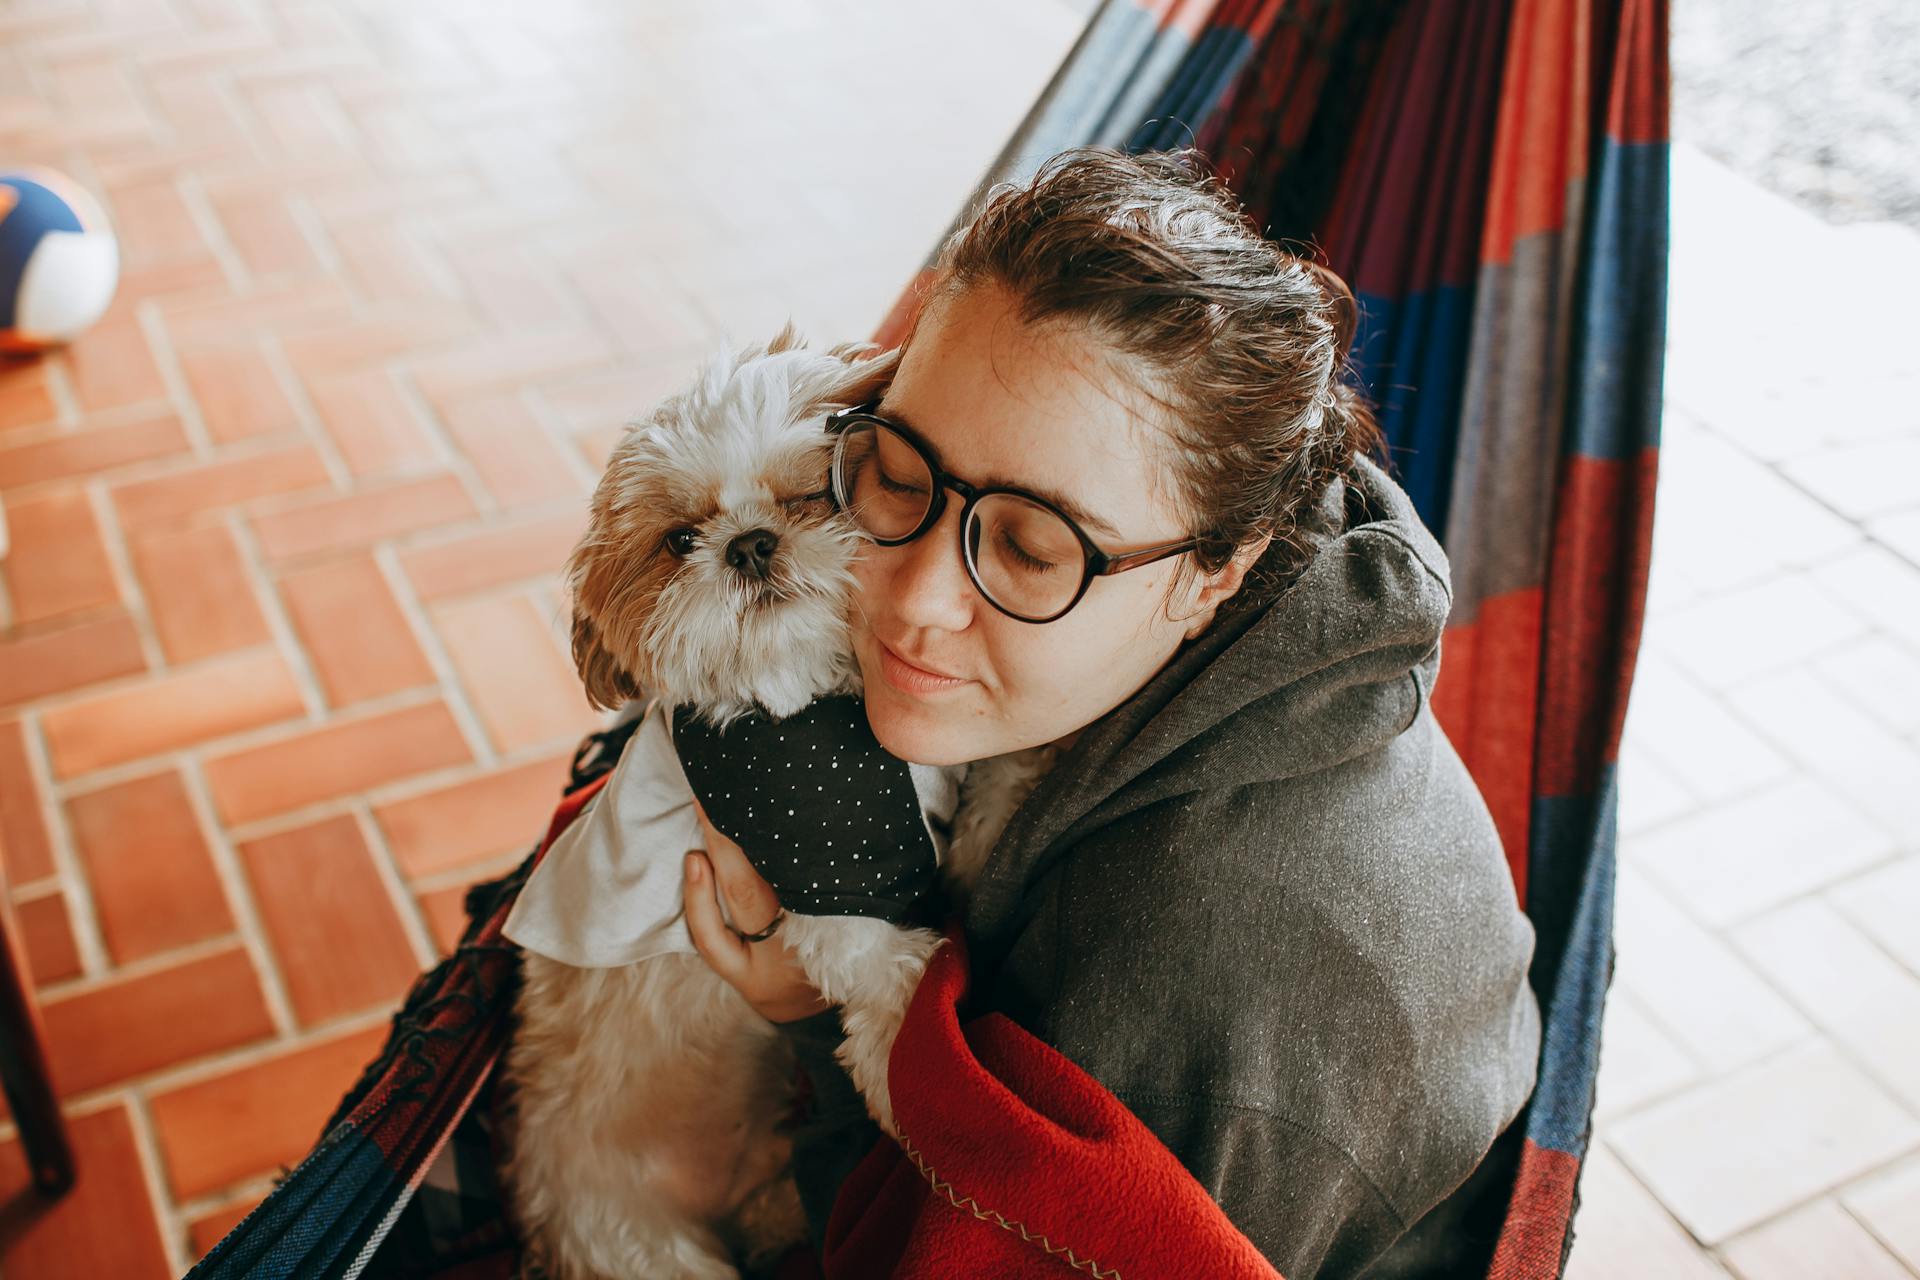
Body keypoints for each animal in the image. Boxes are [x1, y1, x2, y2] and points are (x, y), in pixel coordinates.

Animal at [499, 322, 1052, 1280]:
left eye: (808, 494)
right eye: (679, 539)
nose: (749, 542)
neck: (819, 712)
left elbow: (987, 806)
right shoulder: (819, 870)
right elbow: (887, 968)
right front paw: (908, 1069)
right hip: (645, 1249)